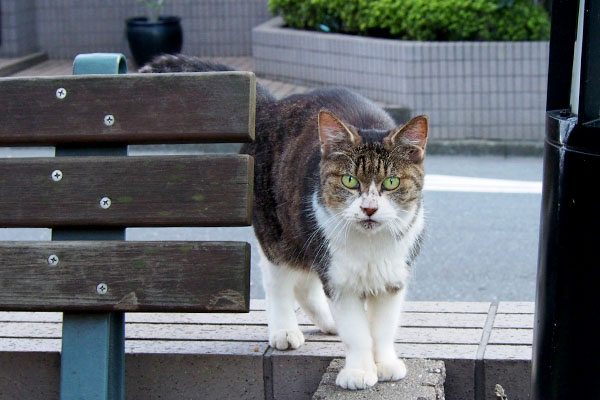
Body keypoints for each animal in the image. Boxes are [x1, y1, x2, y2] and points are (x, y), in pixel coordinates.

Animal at [143, 54, 428, 390]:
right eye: (349, 180)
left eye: (391, 183)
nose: (369, 208)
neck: (370, 246)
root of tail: (272, 105)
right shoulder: (338, 278)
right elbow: (357, 332)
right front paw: (359, 370)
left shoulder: (393, 276)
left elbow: (382, 328)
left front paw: (384, 364)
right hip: (280, 232)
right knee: (277, 278)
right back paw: (285, 331)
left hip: (305, 235)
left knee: (305, 284)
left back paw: (328, 323)